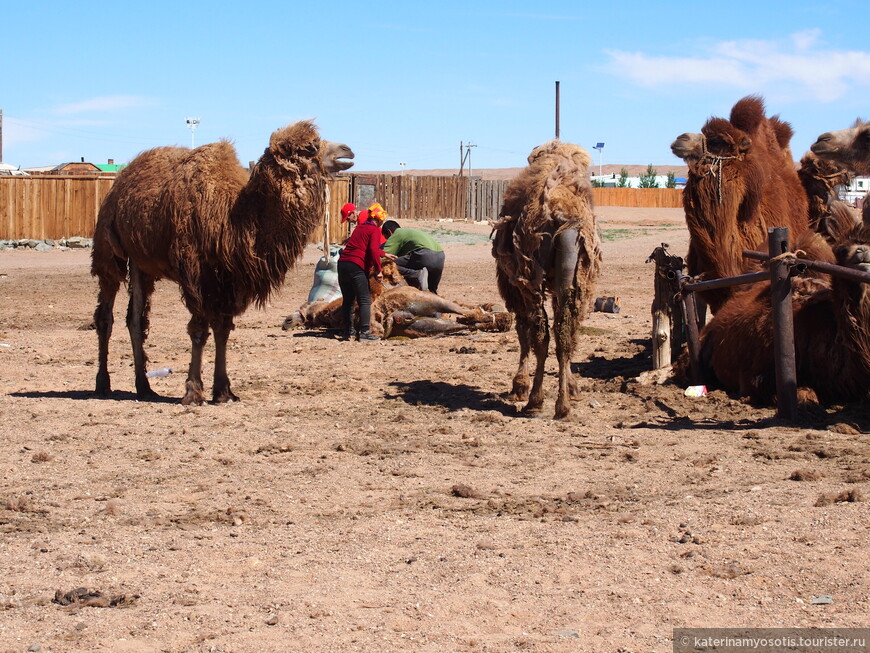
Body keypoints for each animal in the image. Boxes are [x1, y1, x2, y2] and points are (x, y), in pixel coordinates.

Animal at [92, 119, 354, 400]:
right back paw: (103, 384)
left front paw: (223, 391)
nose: (347, 150)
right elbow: (198, 329)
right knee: (106, 314)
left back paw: (144, 386)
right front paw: (193, 392)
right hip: (108, 251)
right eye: (310, 147)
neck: (232, 220)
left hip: (142, 265)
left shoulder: (230, 280)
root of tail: (118, 184)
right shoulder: (195, 275)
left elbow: (223, 329)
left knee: (136, 319)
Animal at [494, 140, 604, 420]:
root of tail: (561, 216)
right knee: (565, 331)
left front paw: (519, 386)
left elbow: (522, 330)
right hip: (574, 277)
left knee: (539, 332)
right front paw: (574, 388)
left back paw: (535, 400)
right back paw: (562, 405)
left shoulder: (514, 284)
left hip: (530, 279)